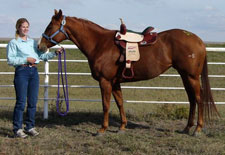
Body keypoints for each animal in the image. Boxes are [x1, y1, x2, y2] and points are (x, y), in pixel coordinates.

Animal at [38, 10, 218, 136]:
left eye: (50, 26)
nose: (40, 46)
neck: (99, 43)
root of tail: (198, 40)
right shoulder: (115, 82)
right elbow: (120, 103)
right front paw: (122, 127)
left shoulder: (105, 81)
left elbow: (106, 105)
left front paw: (102, 129)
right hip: (185, 75)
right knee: (192, 99)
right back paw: (187, 128)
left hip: (191, 76)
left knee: (198, 98)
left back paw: (197, 129)